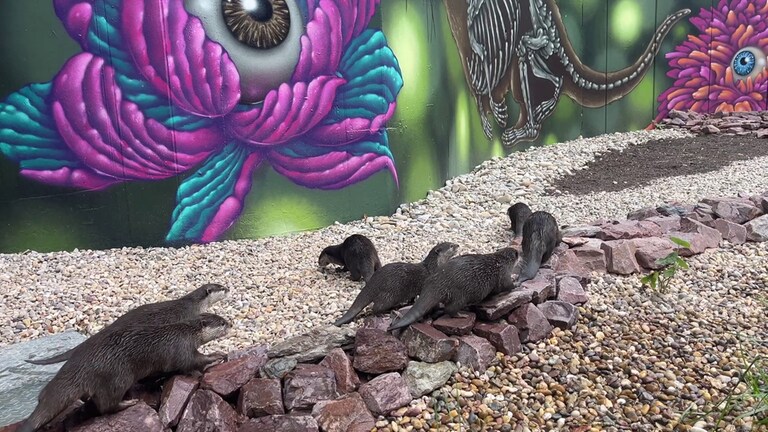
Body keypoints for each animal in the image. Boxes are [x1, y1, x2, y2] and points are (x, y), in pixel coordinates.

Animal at [19, 313, 230, 432]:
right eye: (221, 322)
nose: (231, 324)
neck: (186, 332)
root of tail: (82, 366)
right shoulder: (183, 348)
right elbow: (193, 361)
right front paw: (216, 355)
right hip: (119, 376)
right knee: (106, 406)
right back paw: (128, 403)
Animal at [387, 247, 518, 331]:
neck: (501, 260)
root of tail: (438, 282)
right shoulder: (504, 273)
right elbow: (507, 285)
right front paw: (516, 284)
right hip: (460, 294)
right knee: (451, 309)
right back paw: (461, 315)